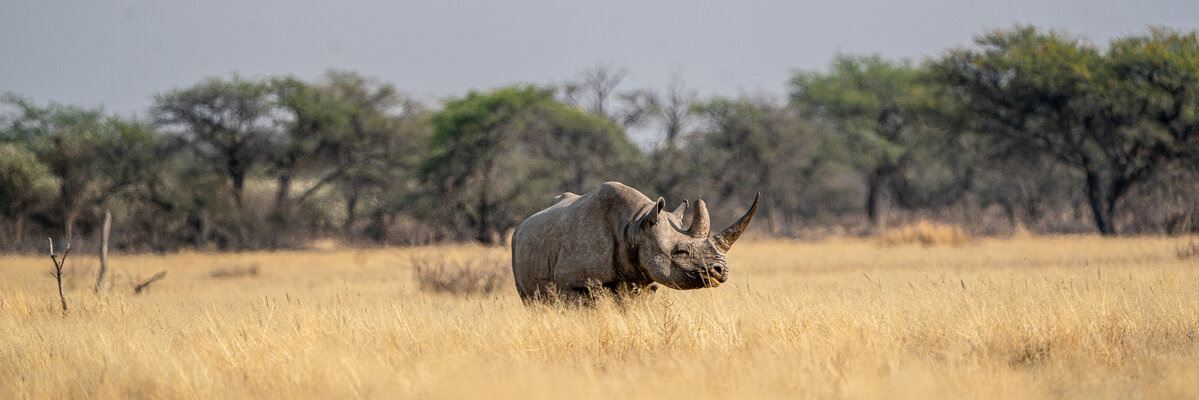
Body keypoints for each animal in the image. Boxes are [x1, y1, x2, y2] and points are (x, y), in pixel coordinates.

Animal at [511, 182, 759, 302]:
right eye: (680, 252)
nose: (721, 271)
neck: (636, 226)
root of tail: (521, 226)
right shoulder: (575, 283)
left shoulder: (644, 281)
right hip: (516, 244)